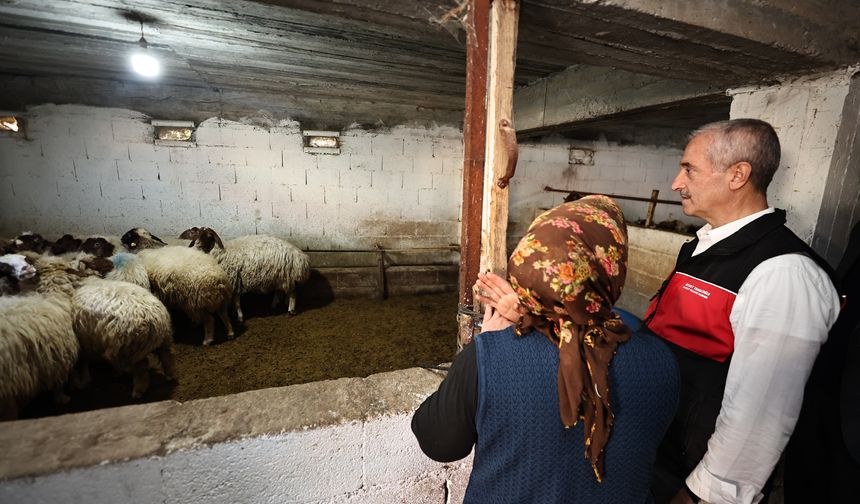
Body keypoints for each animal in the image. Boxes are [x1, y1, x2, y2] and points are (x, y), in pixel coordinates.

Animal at [181, 226, 312, 320]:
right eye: (196, 234)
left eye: (209, 235)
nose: (197, 245)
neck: (218, 252)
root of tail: (301, 257)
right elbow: (234, 302)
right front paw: (234, 314)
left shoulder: (235, 281)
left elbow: (237, 302)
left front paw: (239, 317)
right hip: (280, 276)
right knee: (280, 291)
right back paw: (274, 305)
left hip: (288, 276)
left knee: (292, 294)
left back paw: (290, 310)